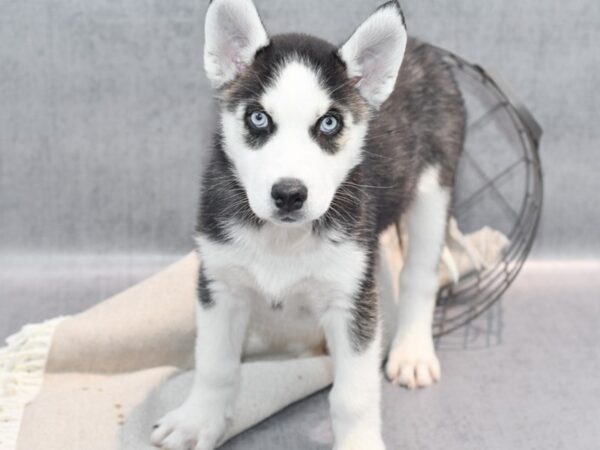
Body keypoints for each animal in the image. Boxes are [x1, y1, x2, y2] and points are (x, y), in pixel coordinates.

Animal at [152, 0, 466, 450]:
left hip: (432, 191)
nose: (289, 194)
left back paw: (412, 351)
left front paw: (358, 444)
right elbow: (214, 364)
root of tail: (425, 50)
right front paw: (198, 420)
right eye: (258, 118)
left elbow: (353, 394)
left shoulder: (352, 302)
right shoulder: (219, 284)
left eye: (329, 123)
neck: (282, 238)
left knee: (420, 275)